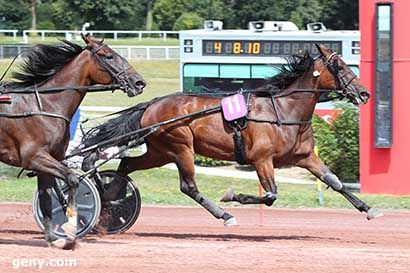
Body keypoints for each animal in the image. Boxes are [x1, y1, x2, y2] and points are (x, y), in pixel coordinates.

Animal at [0, 33, 147, 248]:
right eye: (108, 56)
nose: (139, 83)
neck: (45, 105)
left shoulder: (47, 161)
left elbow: (47, 199)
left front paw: (53, 238)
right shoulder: (35, 157)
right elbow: (73, 179)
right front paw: (70, 225)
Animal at [82, 44, 382, 226]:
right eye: (340, 66)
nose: (364, 93)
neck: (284, 111)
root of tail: (153, 104)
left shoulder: (305, 157)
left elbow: (335, 181)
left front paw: (369, 209)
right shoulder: (262, 160)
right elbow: (270, 195)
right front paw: (231, 195)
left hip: (160, 151)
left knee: (127, 164)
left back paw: (110, 200)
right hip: (180, 146)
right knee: (188, 186)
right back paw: (224, 214)